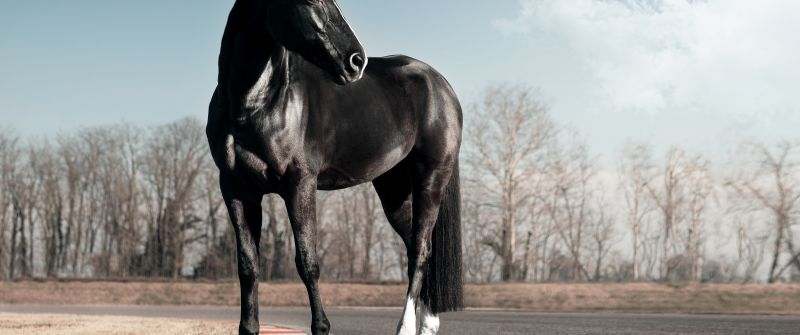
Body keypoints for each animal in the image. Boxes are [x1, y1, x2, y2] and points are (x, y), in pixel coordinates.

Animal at [206, 1, 466, 334]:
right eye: (311, 2)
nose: (356, 61)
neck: (254, 103)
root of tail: (441, 84)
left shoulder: (299, 184)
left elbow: (307, 262)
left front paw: (321, 326)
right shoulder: (237, 190)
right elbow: (248, 264)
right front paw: (249, 327)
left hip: (431, 179)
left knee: (419, 252)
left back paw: (406, 327)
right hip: (394, 191)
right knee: (420, 249)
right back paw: (428, 325)